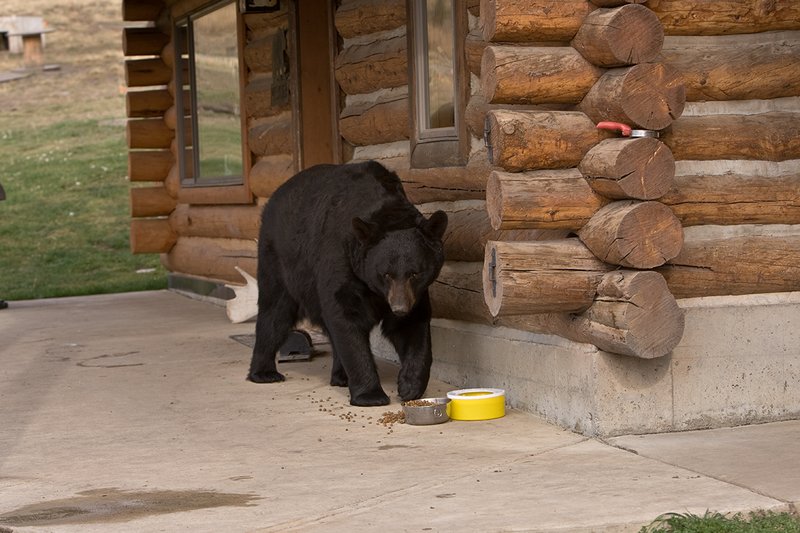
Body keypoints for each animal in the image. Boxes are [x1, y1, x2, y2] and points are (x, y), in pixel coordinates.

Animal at [247, 160, 448, 407]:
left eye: (415, 273)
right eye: (386, 274)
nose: (399, 308)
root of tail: (273, 197)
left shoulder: (413, 293)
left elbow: (412, 327)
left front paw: (409, 385)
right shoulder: (342, 259)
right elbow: (347, 319)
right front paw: (371, 395)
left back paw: (340, 376)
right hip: (279, 259)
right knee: (275, 312)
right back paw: (264, 372)